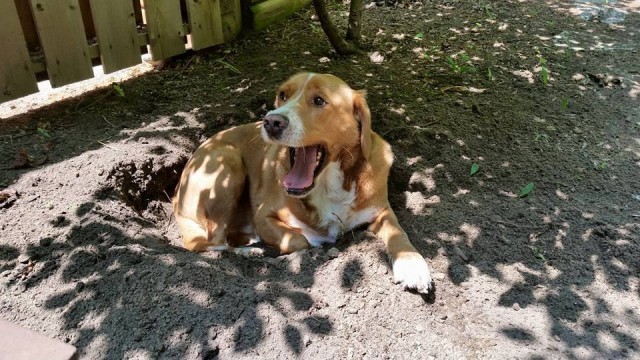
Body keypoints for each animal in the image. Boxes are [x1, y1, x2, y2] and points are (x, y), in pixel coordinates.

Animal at [172, 72, 432, 292]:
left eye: (319, 100)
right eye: (282, 95)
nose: (271, 121)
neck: (328, 184)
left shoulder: (382, 210)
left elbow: (398, 232)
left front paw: (412, 265)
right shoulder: (264, 216)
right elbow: (299, 239)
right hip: (227, 162)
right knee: (208, 241)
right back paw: (250, 251)